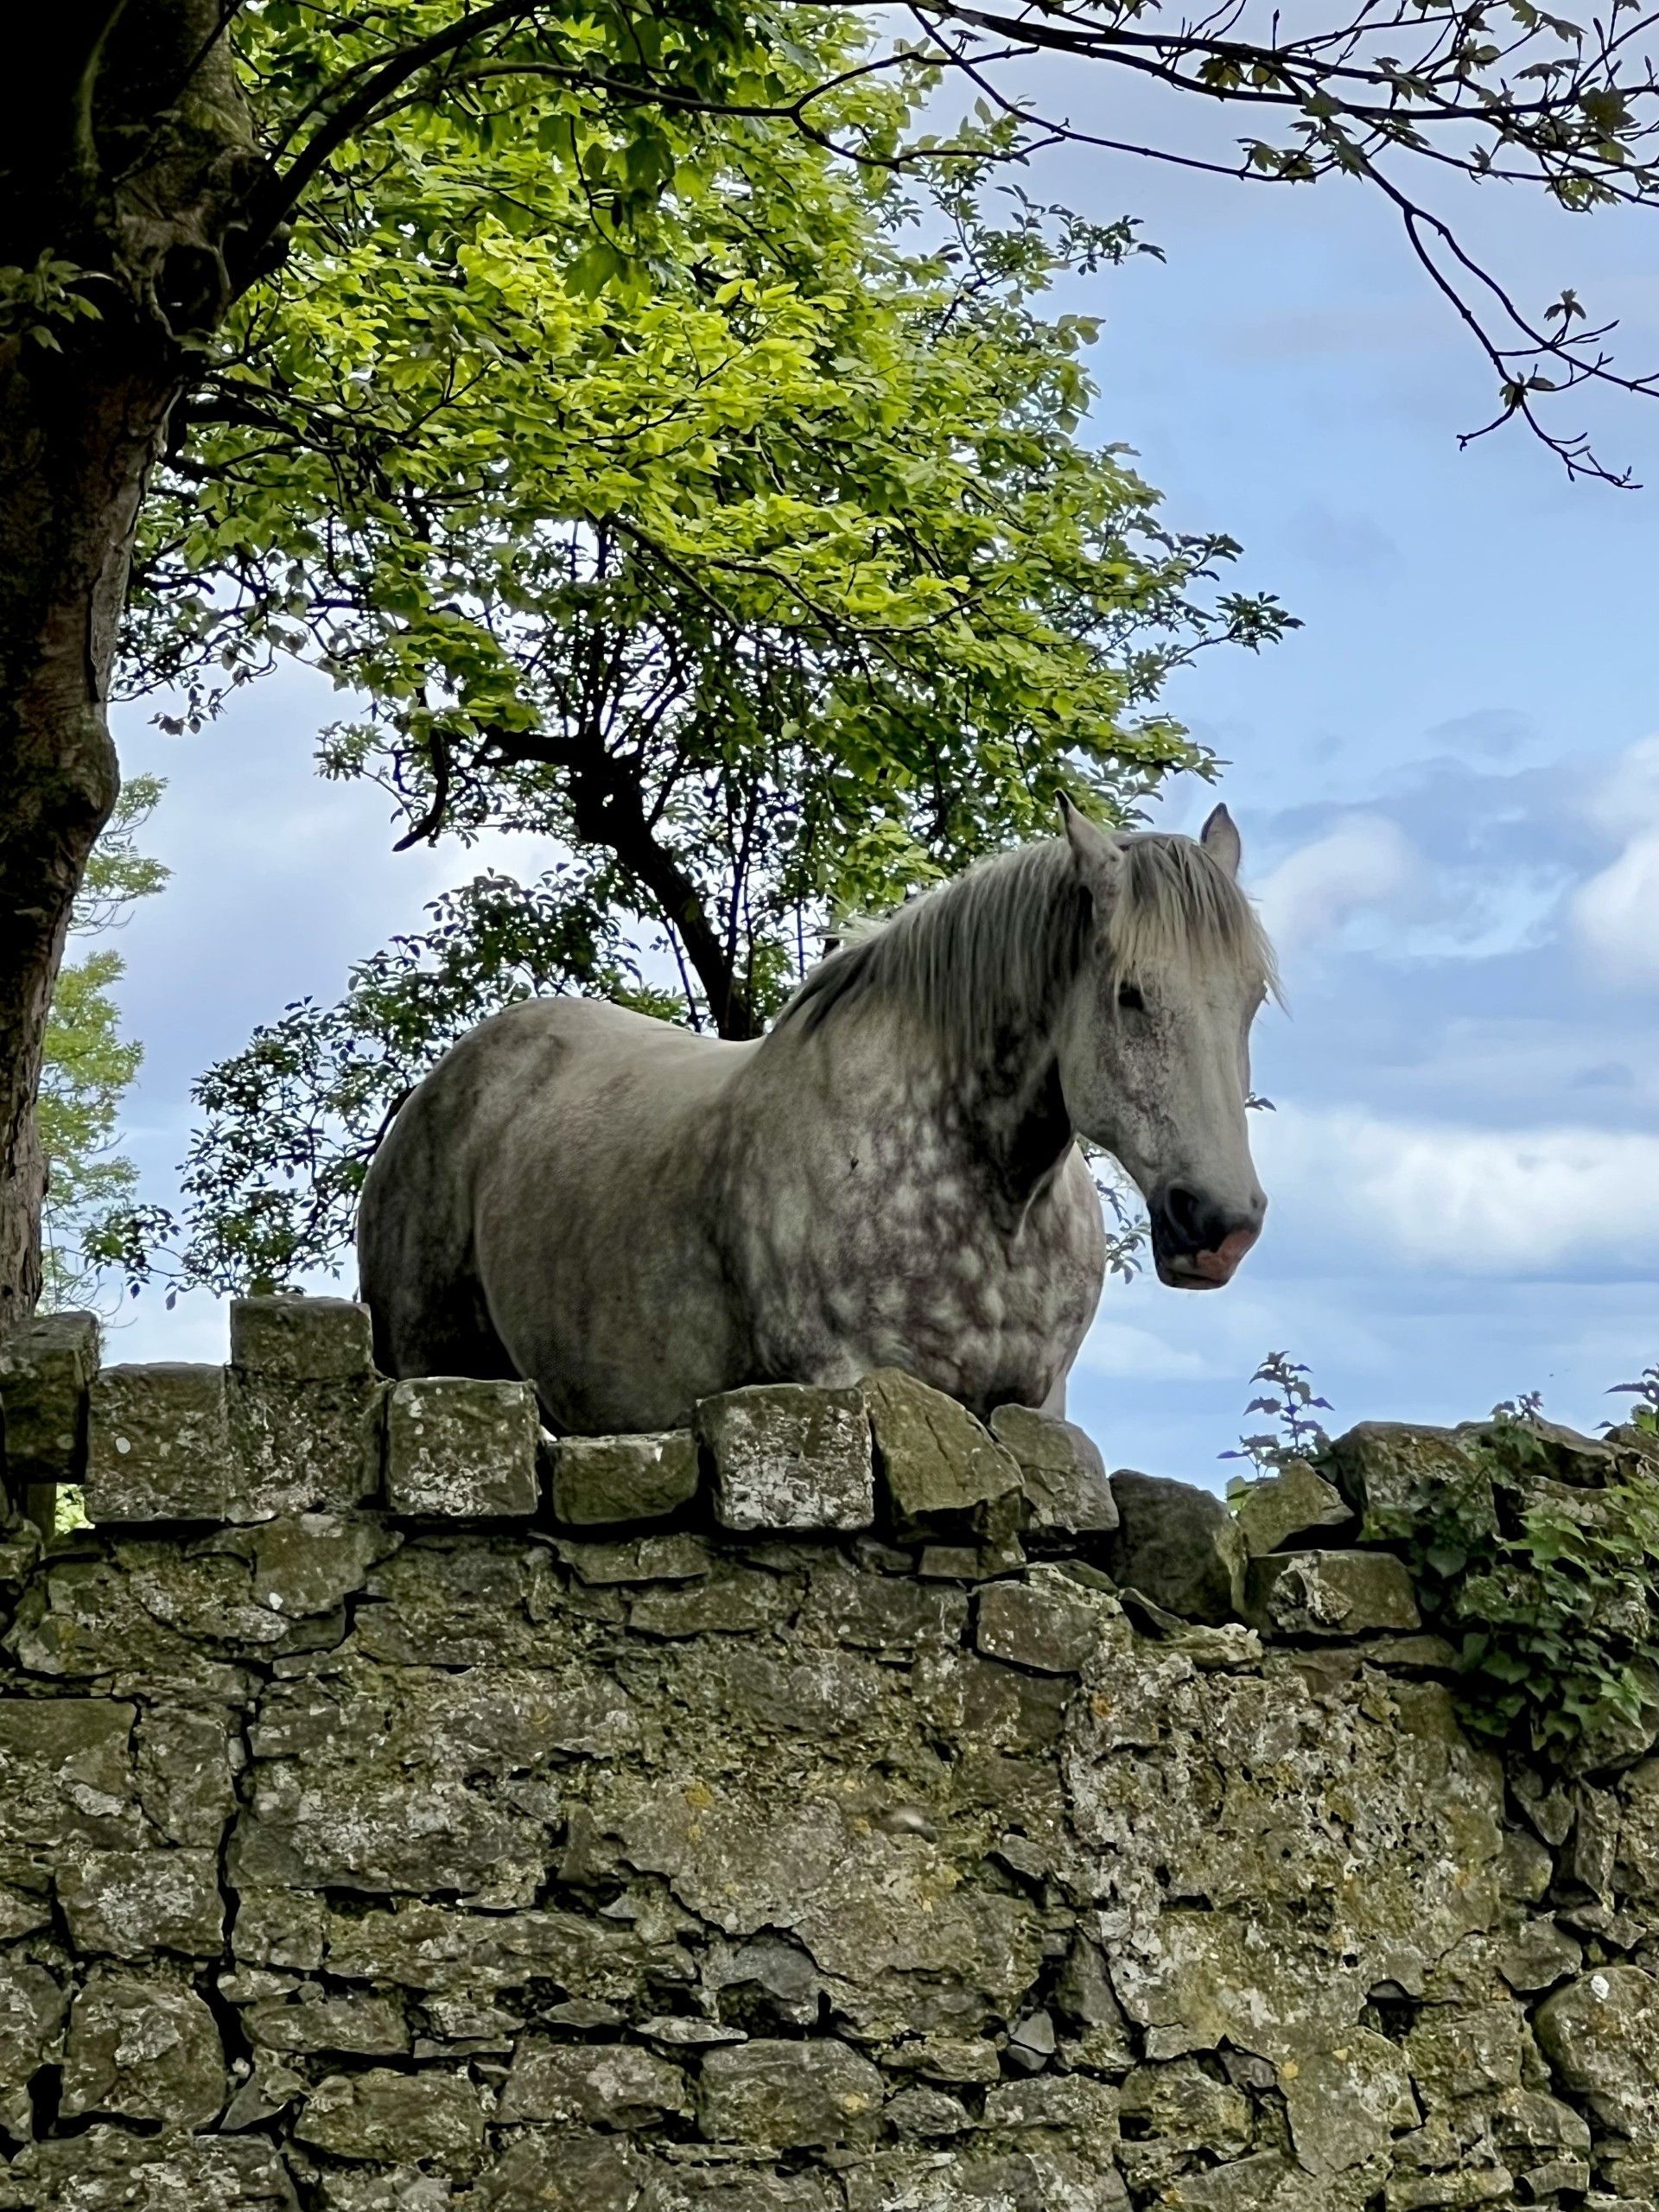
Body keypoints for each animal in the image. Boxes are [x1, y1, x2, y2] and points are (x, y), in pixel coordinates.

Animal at [357, 800, 1276, 1434]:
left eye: (1251, 1000)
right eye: (1130, 995)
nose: (1220, 1223)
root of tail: (444, 1084)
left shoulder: (1034, 1403)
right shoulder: (845, 1384)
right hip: (431, 1366)